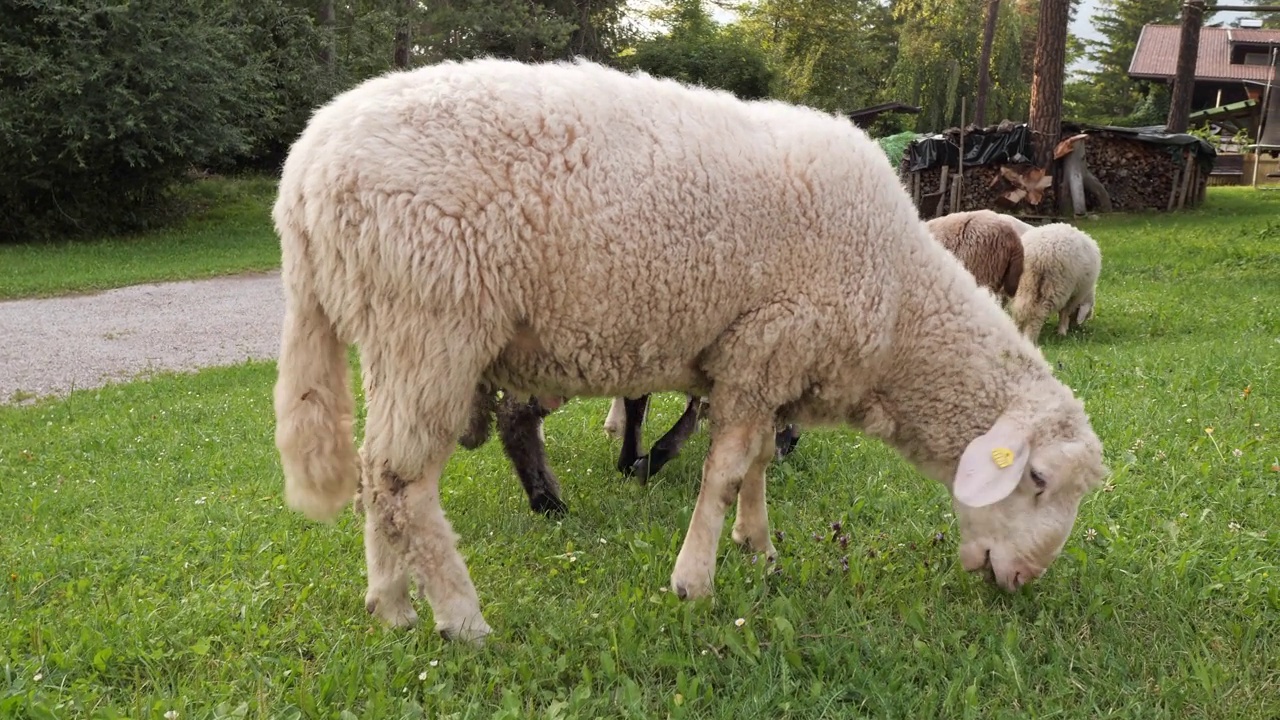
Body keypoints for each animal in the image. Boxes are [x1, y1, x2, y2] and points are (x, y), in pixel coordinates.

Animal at [272, 57, 1111, 638]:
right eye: (1036, 478)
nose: (1022, 579)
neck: (901, 304)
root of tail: (304, 168)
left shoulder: (772, 365)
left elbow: (760, 463)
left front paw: (758, 546)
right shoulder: (763, 345)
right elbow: (726, 468)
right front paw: (695, 580)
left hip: (391, 331)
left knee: (373, 476)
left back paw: (390, 606)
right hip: (431, 322)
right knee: (401, 481)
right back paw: (460, 618)